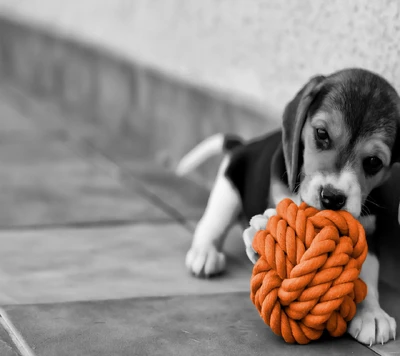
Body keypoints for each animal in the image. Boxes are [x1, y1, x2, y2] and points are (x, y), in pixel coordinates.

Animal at [178, 67, 400, 344]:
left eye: (373, 162)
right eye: (321, 134)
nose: (332, 197)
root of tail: (244, 145)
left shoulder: (369, 232)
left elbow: (368, 271)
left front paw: (372, 314)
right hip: (228, 188)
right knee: (210, 224)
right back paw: (204, 254)